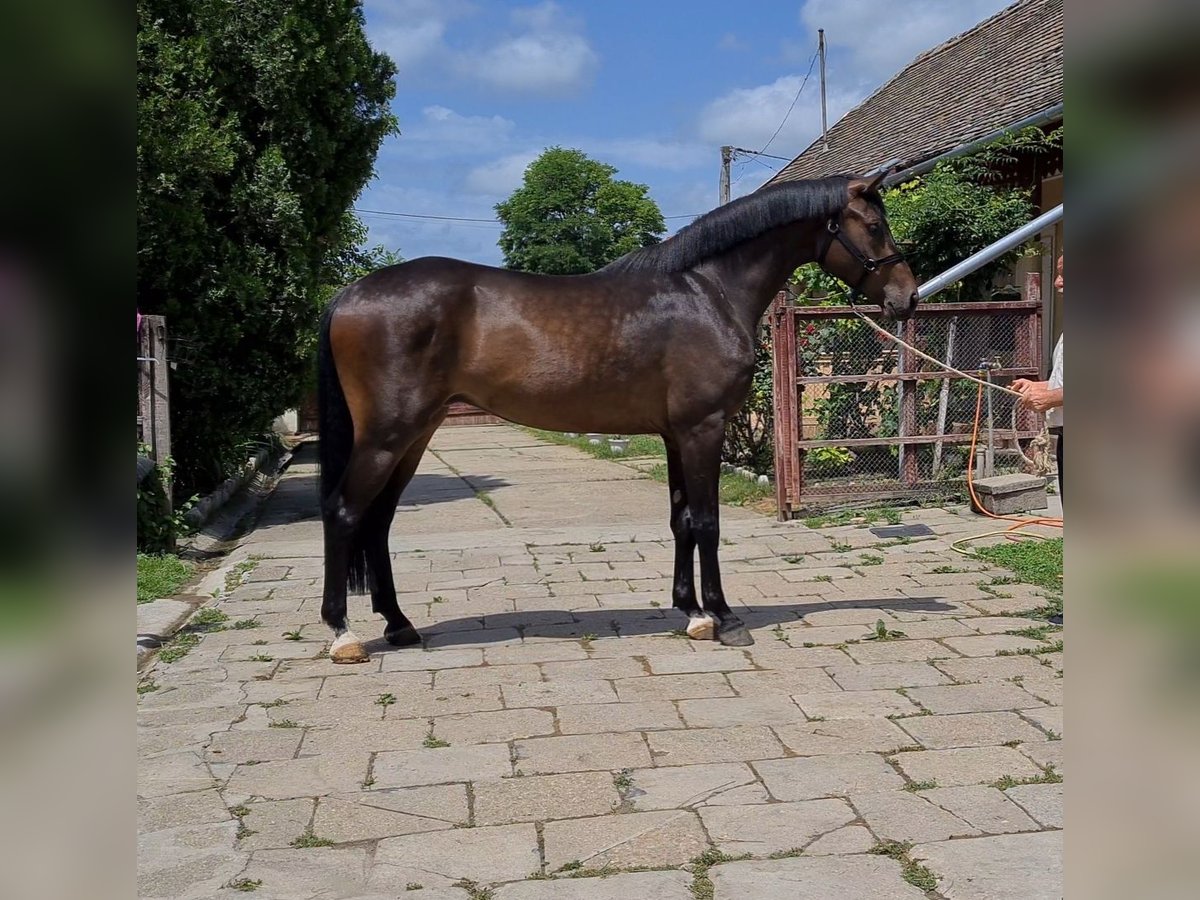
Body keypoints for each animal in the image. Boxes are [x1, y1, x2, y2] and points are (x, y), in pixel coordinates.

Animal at [314, 172, 912, 662]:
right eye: (874, 225)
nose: (906, 297)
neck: (708, 291)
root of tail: (349, 293)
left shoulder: (675, 434)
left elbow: (682, 520)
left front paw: (691, 613)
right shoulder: (704, 428)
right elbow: (709, 522)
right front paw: (724, 617)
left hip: (414, 436)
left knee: (379, 520)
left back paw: (399, 625)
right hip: (387, 436)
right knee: (345, 512)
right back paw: (343, 634)